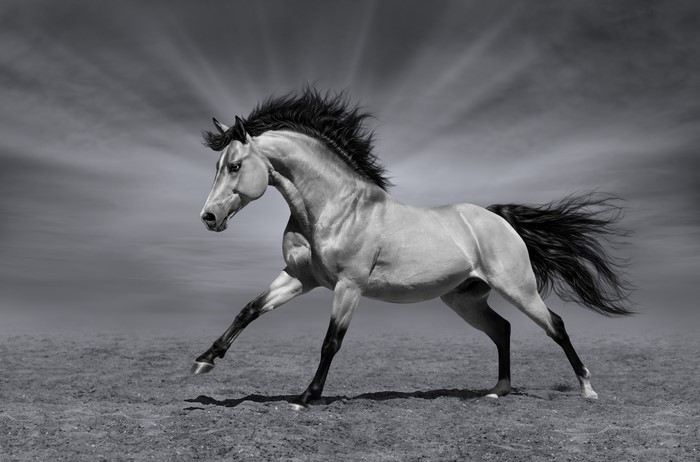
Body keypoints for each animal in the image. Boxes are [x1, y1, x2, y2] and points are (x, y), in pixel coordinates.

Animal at [191, 87, 632, 408]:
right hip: (465, 299)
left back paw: (588, 390)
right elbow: (249, 310)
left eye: (234, 166)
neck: (335, 208)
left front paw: (305, 397)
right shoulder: (300, 278)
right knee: (502, 329)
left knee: (555, 325)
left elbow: (331, 341)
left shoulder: (348, 286)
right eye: (217, 166)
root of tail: (498, 219)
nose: (209, 218)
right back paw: (497, 391)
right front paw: (204, 361)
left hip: (518, 288)